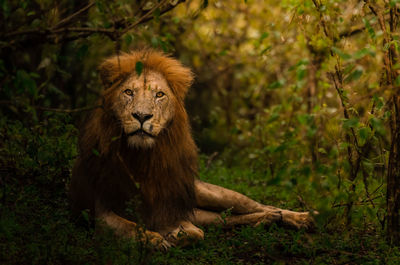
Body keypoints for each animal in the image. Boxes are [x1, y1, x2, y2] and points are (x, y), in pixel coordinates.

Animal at [71, 48, 316, 249]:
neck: (142, 158)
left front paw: (171, 236)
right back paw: (268, 220)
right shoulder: (100, 210)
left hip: (212, 193)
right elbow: (129, 228)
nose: (141, 116)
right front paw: (154, 238)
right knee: (229, 218)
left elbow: (195, 234)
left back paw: (299, 217)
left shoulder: (170, 208)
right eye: (129, 92)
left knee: (257, 205)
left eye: (159, 95)